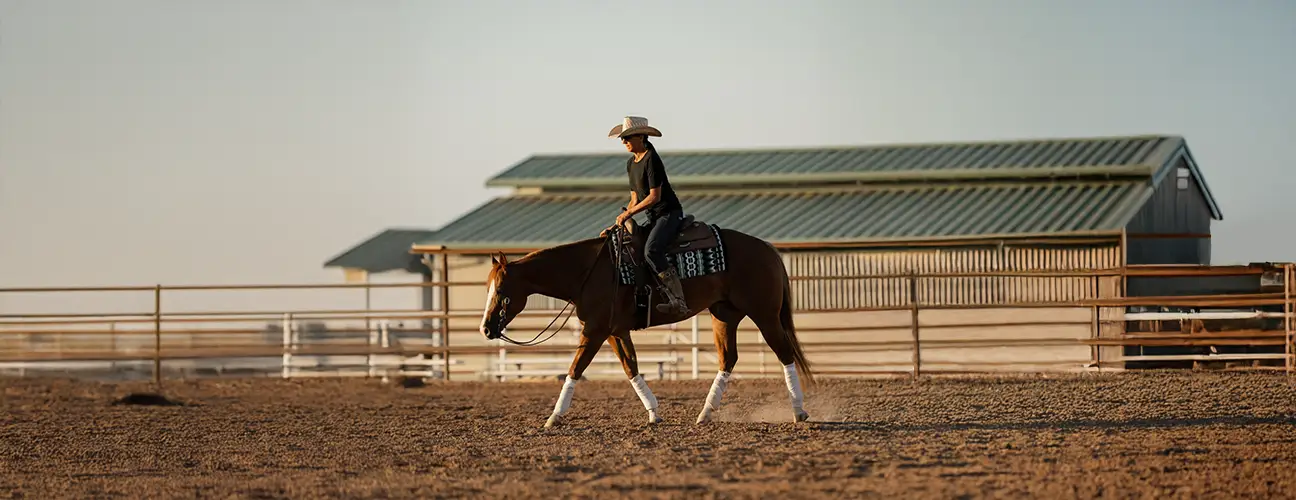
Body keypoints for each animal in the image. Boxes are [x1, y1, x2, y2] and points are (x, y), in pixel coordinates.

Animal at [478, 217, 815, 427]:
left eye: (502, 291)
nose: (486, 328)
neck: (588, 271)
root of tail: (767, 248)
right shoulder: (615, 331)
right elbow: (631, 368)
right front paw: (653, 413)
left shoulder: (595, 330)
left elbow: (575, 369)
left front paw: (554, 417)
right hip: (724, 314)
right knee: (728, 359)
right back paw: (706, 413)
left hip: (765, 315)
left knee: (785, 354)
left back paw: (798, 411)